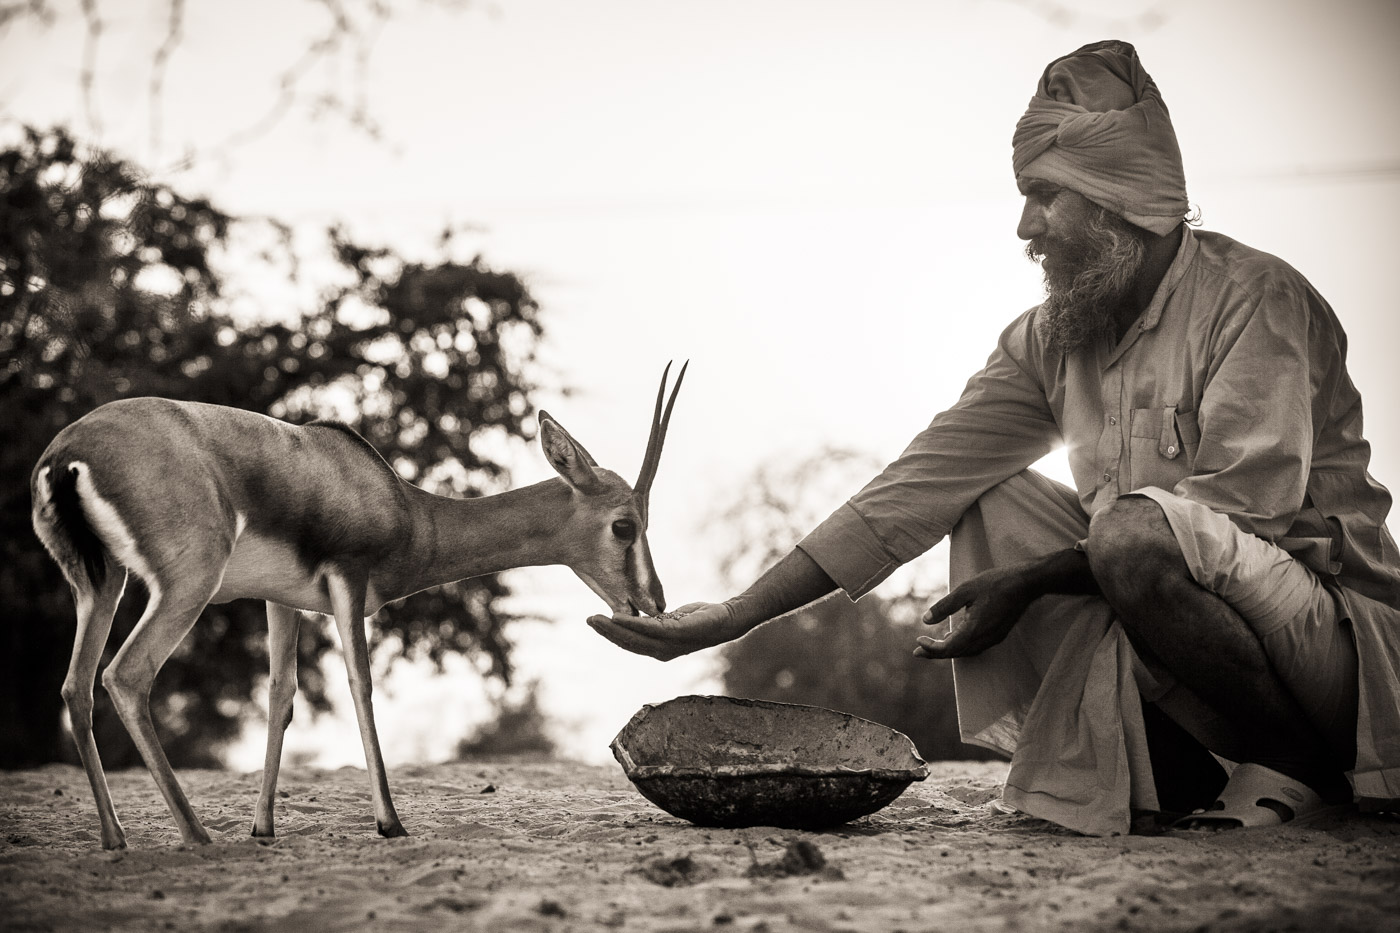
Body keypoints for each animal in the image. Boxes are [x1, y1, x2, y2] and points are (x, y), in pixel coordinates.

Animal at [30, 362, 687, 850]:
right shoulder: (349, 581)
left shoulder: (281, 601)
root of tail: (69, 452)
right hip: (186, 585)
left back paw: (115, 839)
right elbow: (361, 688)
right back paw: (195, 835)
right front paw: (390, 823)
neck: (406, 509)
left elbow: (281, 696)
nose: (652, 600)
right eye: (624, 525)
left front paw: (263, 829)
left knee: (75, 685)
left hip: (101, 585)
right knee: (126, 675)